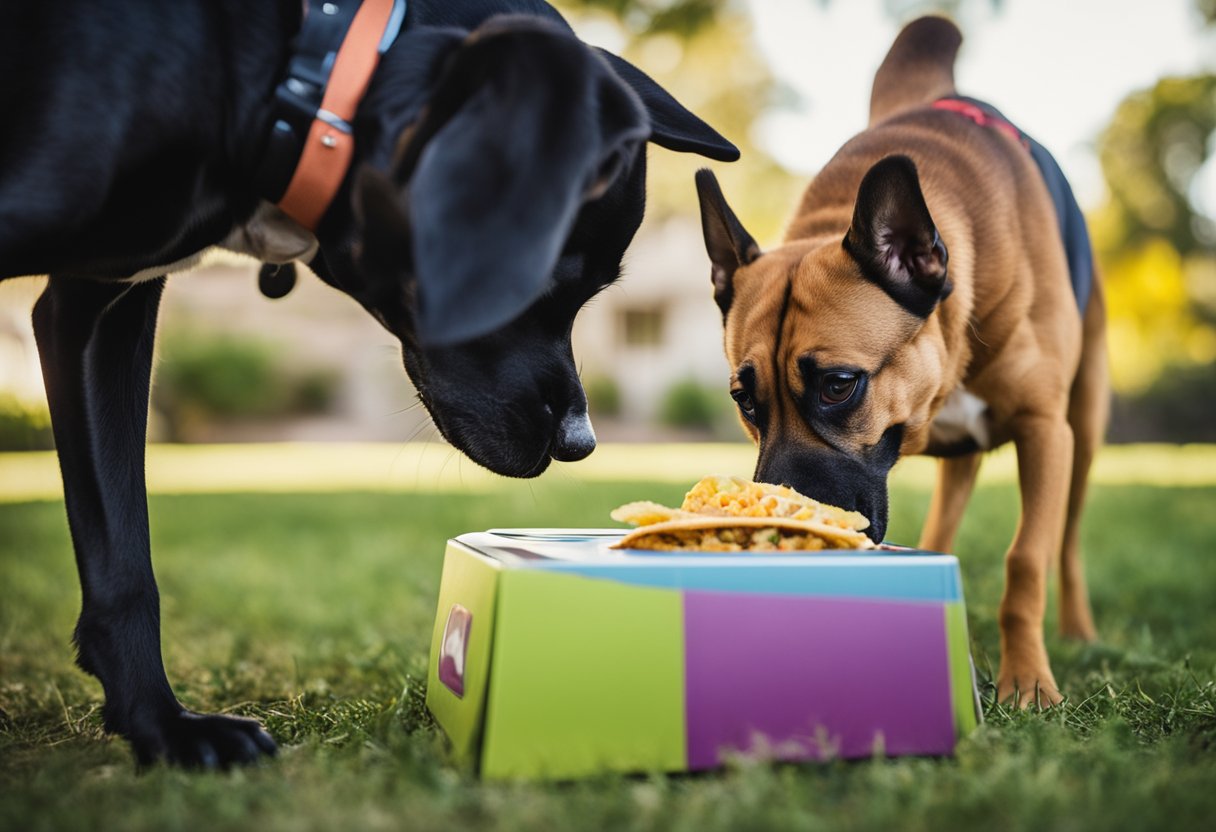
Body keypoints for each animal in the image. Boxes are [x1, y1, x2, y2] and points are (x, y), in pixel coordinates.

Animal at [4, 0, 734, 768]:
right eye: (548, 279)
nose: (581, 443)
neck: (303, 72)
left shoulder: (98, 310)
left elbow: (122, 551)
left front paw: (160, 724)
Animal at [700, 16, 1108, 705]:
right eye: (743, 401)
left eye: (839, 386)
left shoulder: (1044, 432)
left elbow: (1027, 560)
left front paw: (1027, 681)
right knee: (944, 530)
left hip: (1083, 426)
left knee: (1071, 541)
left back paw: (1080, 630)